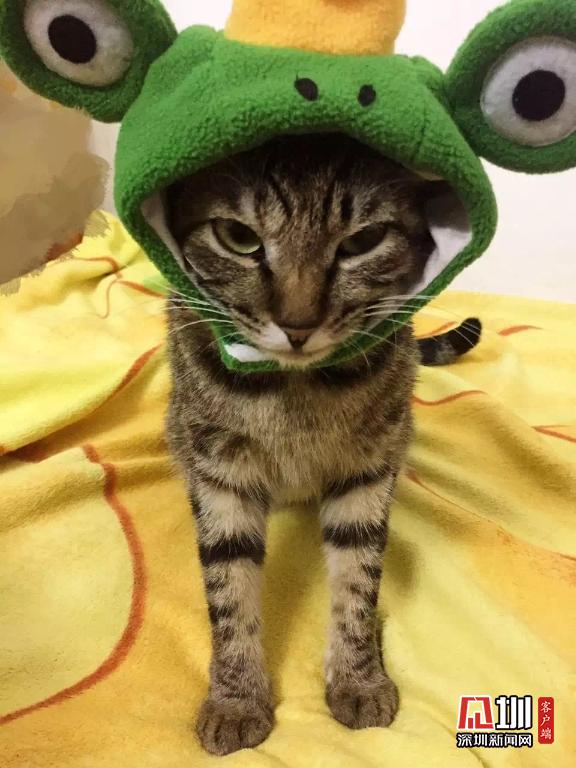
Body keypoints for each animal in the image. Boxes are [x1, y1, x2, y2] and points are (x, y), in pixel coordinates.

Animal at [166, 133, 480, 756]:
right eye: (238, 237)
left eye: (361, 242)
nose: (298, 324)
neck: (295, 390)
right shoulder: (218, 470)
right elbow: (228, 590)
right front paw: (235, 699)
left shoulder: (369, 466)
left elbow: (358, 579)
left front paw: (358, 680)